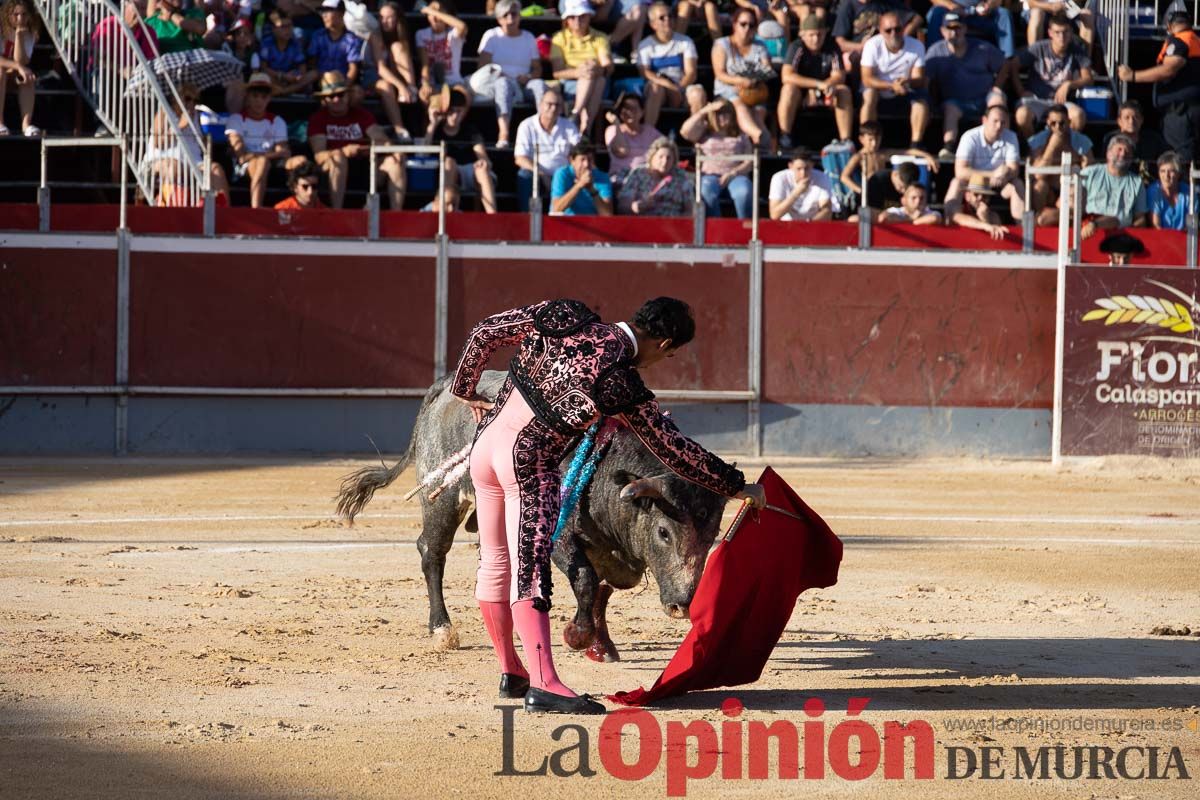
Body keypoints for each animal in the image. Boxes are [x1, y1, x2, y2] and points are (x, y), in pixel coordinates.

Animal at [338, 371, 729, 662]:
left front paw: (601, 647)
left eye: (712, 537)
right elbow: (587, 581)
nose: (682, 604)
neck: (605, 467)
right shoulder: (561, 539)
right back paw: (442, 629)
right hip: (444, 498)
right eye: (664, 532)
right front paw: (576, 636)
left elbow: (601, 591)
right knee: (432, 551)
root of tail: (444, 386)